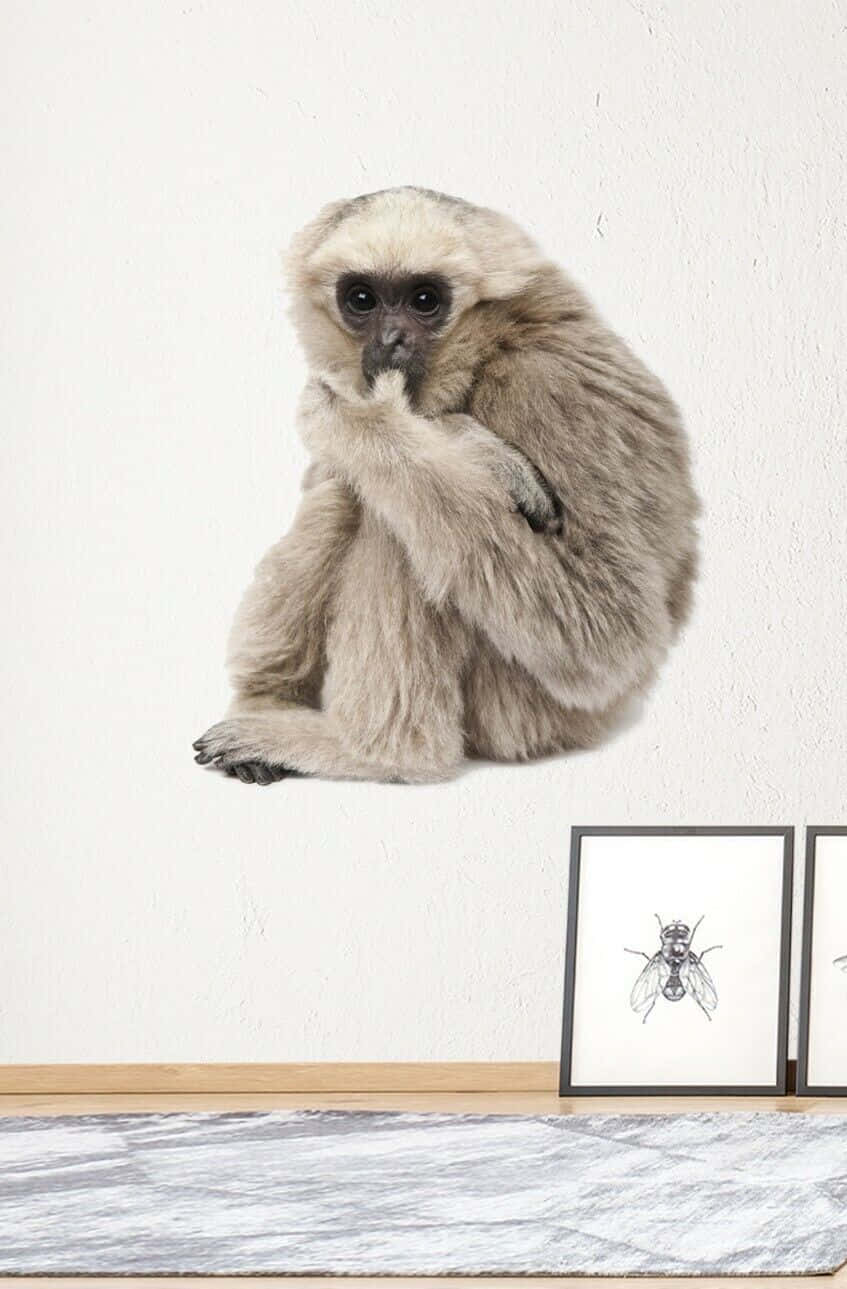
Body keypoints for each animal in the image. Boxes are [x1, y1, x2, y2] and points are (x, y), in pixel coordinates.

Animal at [193, 187, 699, 785]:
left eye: (424, 300)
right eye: (362, 299)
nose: (391, 338)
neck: (492, 348)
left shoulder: (551, 390)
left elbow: (609, 636)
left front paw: (388, 421)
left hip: (530, 715)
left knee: (397, 518)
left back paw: (377, 752)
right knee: (344, 493)